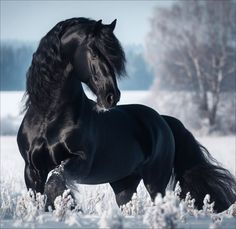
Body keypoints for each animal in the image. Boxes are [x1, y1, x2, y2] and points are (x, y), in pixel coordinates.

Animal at [17, 17, 236, 212]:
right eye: (94, 51)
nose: (111, 96)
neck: (49, 119)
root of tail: (163, 120)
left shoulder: (81, 161)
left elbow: (55, 181)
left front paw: (69, 207)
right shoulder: (32, 170)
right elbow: (40, 195)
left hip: (155, 181)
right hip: (124, 183)